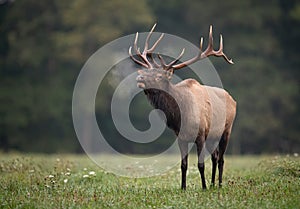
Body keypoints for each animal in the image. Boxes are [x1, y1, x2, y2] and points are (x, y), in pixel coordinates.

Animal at [129, 24, 237, 189]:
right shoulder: (180, 137)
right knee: (215, 156)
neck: (181, 115)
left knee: (221, 159)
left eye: (159, 76)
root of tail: (233, 100)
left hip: (226, 130)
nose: (139, 78)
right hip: (213, 136)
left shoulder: (201, 135)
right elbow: (183, 165)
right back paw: (213, 183)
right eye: (147, 71)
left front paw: (203, 187)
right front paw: (183, 187)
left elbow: (200, 164)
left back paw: (218, 184)